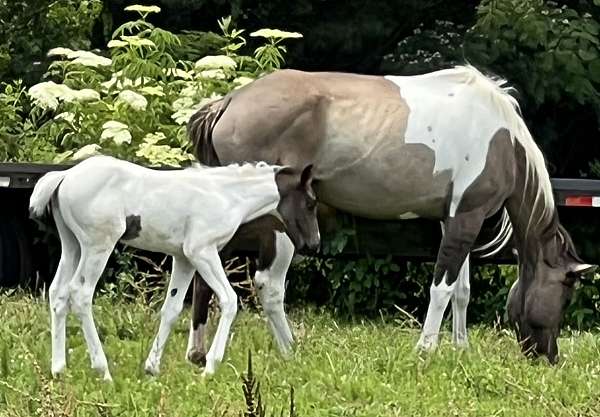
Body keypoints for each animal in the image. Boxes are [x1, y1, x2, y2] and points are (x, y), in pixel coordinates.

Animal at [28, 154, 318, 378]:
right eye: (311, 203)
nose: (314, 244)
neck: (225, 196)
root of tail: (65, 176)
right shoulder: (202, 252)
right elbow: (229, 300)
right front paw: (210, 367)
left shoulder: (184, 259)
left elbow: (172, 309)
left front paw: (152, 367)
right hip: (98, 246)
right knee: (80, 294)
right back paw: (102, 370)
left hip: (73, 246)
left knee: (58, 293)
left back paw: (59, 369)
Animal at [189, 66, 596, 364]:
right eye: (565, 294)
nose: (549, 357)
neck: (502, 139)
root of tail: (228, 102)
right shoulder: (467, 218)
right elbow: (442, 288)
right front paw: (426, 350)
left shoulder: (456, 218)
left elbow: (461, 291)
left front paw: (460, 348)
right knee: (269, 286)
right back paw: (289, 352)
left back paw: (197, 352)